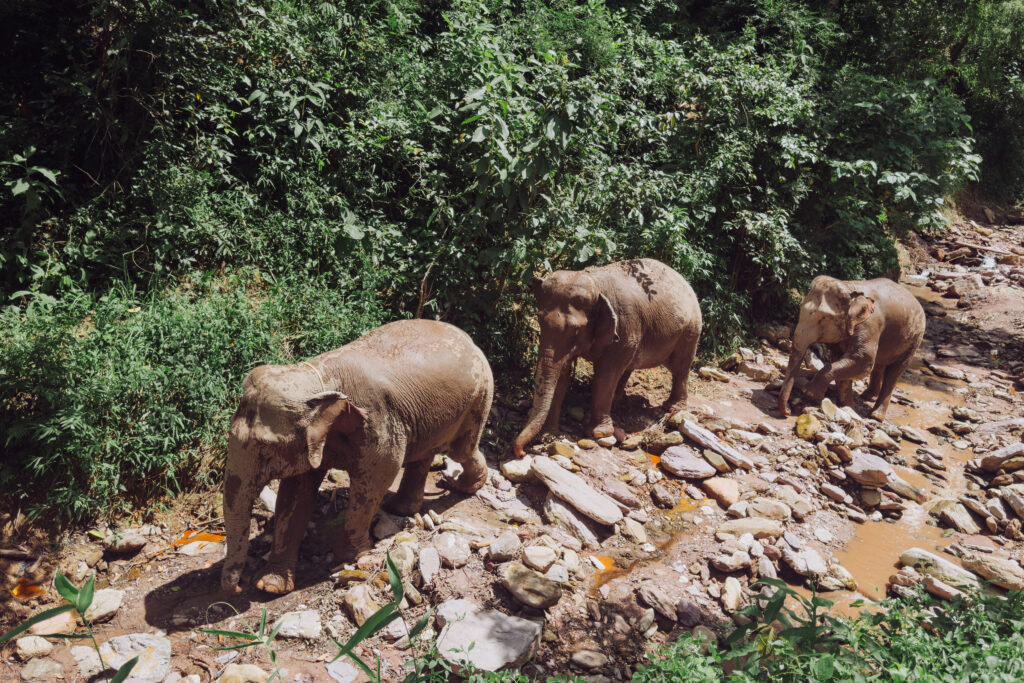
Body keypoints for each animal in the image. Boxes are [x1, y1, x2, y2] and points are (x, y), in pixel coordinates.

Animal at [221, 319, 493, 595]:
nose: (240, 585)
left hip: (478, 397)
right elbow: (295, 494)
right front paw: (270, 586)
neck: (315, 377)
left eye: (265, 450)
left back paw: (465, 486)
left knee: (461, 450)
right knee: (423, 455)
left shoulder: (378, 424)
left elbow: (376, 479)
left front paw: (350, 556)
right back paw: (401, 507)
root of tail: (466, 336)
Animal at [513, 258, 702, 457]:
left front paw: (599, 433)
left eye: (575, 330)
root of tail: (684, 280)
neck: (595, 283)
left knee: (680, 367)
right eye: (539, 321)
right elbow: (562, 375)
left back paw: (672, 408)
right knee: (629, 367)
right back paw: (617, 403)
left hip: (690, 330)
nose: (522, 453)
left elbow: (606, 374)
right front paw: (548, 434)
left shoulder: (625, 327)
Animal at [777, 275, 925, 421]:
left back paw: (876, 416)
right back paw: (867, 396)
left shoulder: (870, 325)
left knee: (894, 372)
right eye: (801, 308)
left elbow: (863, 362)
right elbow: (841, 358)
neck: (851, 287)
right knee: (879, 365)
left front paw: (809, 393)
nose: (788, 412)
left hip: (914, 341)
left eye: (824, 318)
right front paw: (847, 405)